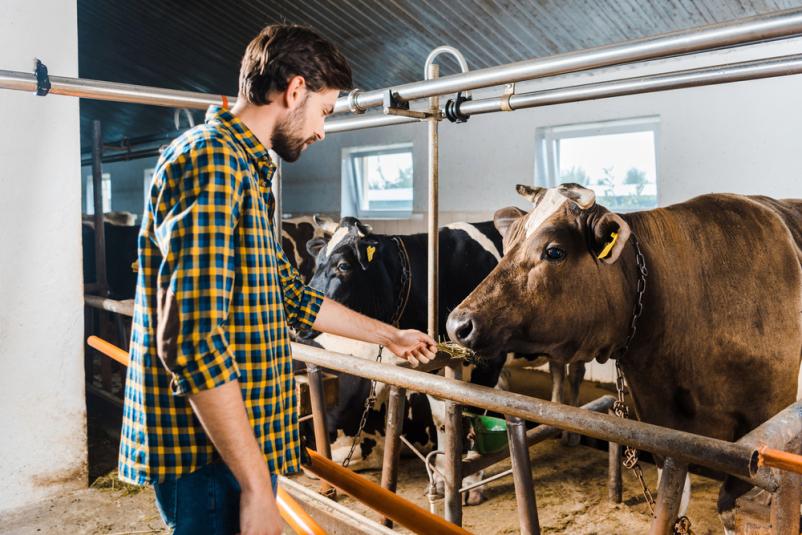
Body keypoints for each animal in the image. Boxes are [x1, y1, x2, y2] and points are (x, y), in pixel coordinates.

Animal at [444, 183, 800, 532]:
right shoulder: (659, 417)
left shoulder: (765, 425)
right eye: (507, 246)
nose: (458, 324)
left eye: (554, 251)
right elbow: (673, 503)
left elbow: (729, 507)